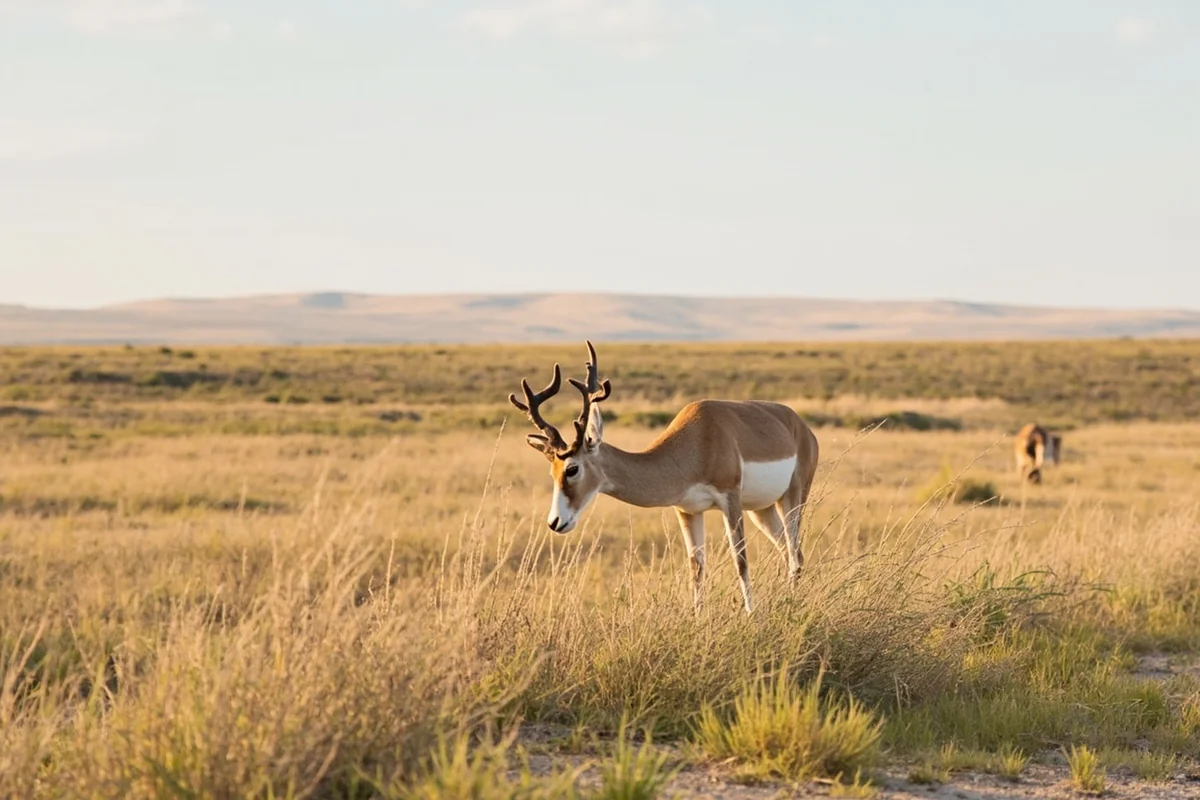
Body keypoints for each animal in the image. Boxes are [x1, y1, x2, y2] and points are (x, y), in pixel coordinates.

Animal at [509, 342, 819, 613]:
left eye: (572, 468)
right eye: (552, 471)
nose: (555, 522)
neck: (697, 442)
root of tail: (801, 427)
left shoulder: (730, 500)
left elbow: (740, 560)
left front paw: (751, 617)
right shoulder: (687, 510)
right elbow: (697, 566)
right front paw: (698, 620)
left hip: (793, 498)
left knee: (795, 552)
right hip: (761, 509)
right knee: (790, 551)